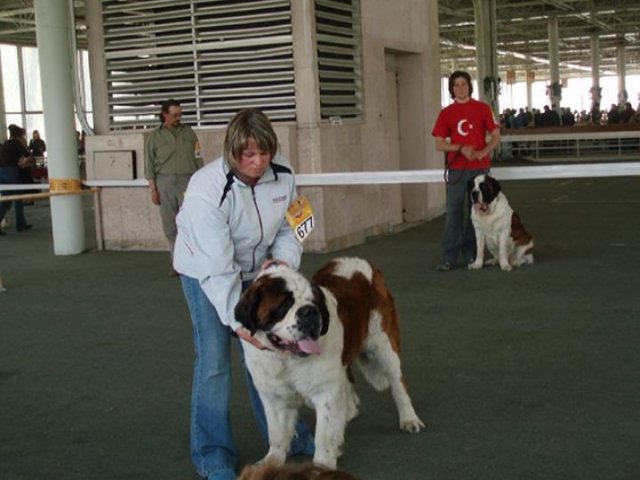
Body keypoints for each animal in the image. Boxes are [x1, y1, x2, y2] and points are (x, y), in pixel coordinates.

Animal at [235, 257, 424, 469]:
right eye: (284, 305)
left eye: (314, 302)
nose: (309, 312)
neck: (286, 360)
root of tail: (363, 262)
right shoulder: (272, 396)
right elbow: (276, 433)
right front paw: (271, 462)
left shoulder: (325, 392)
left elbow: (324, 435)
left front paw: (322, 465)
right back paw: (348, 410)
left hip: (384, 345)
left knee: (398, 385)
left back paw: (409, 418)